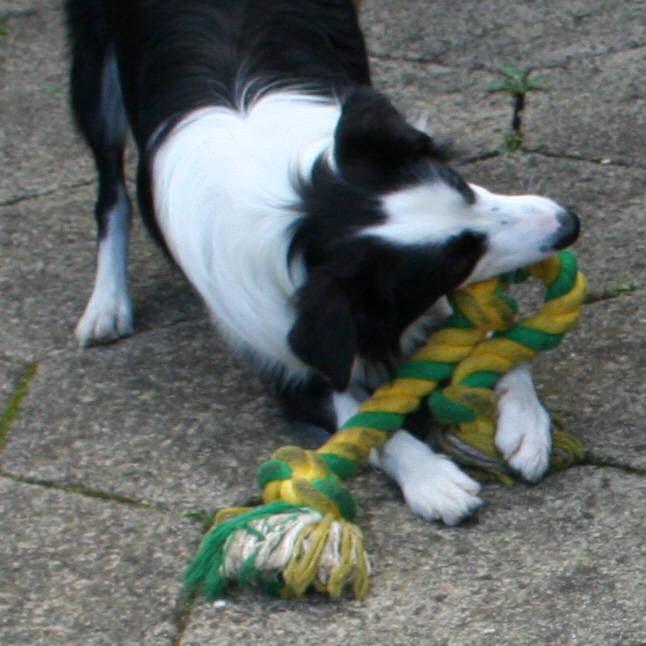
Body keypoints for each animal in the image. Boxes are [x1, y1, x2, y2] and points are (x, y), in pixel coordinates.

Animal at [67, 0, 584, 528]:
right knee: (109, 192)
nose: (568, 224)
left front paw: (526, 422)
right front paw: (432, 479)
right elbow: (362, 424)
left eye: (462, 186)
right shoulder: (290, 355)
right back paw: (106, 305)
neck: (296, 220)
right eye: (456, 259)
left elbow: (498, 341)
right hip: (93, 77)